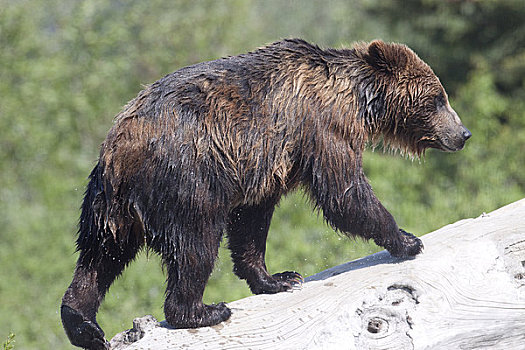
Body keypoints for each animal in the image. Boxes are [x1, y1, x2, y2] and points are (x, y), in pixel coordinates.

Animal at [61, 38, 470, 348]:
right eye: (438, 98)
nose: (462, 134)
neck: (359, 99)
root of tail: (118, 148)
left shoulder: (265, 165)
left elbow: (252, 221)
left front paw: (279, 278)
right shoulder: (322, 128)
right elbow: (344, 194)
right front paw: (407, 239)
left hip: (106, 203)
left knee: (99, 258)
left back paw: (83, 325)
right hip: (185, 179)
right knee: (195, 244)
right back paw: (203, 311)